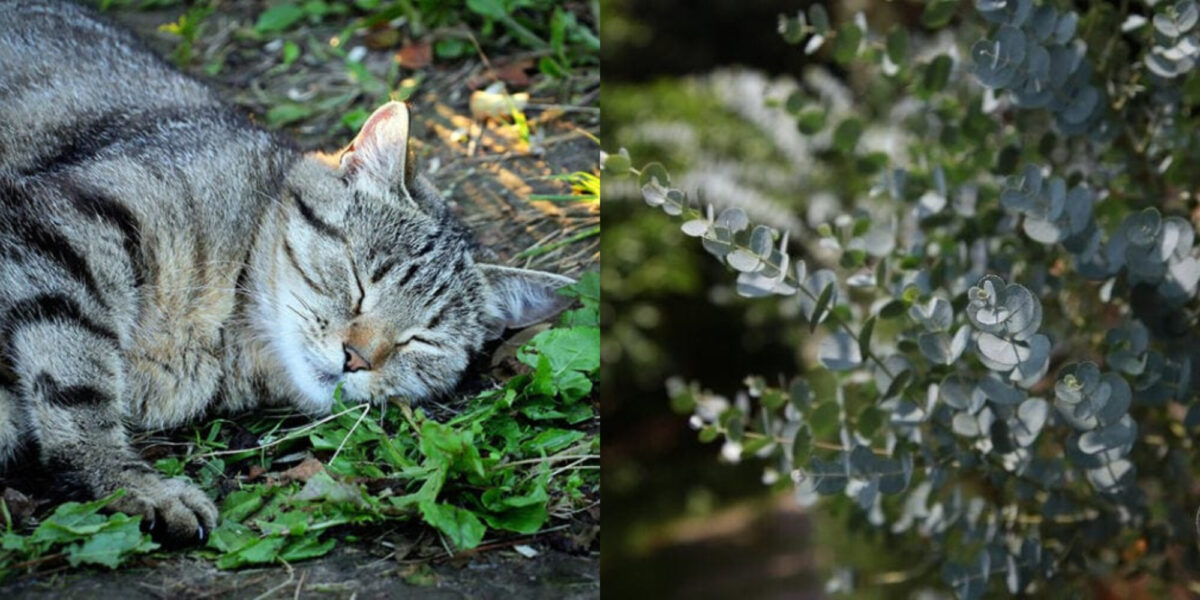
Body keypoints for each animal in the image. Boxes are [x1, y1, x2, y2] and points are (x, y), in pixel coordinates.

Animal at [0, 1, 576, 544]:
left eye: (422, 340)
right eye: (359, 281)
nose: (355, 358)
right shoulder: (65, 226)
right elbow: (76, 382)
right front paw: (128, 481)